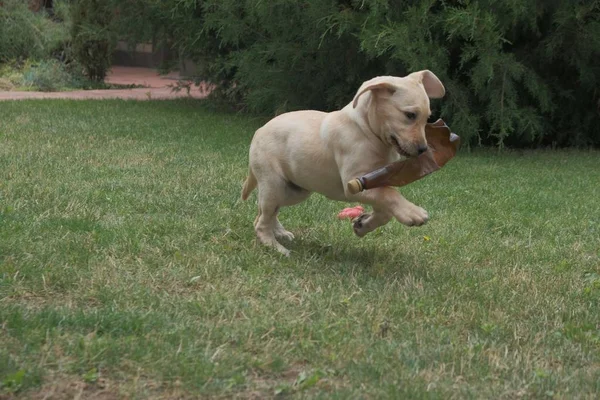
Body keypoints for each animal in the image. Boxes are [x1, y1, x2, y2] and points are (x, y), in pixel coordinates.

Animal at [240, 70, 446, 255]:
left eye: (427, 118)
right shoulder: (355, 183)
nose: (423, 149)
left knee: (264, 213)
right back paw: (276, 247)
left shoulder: (379, 179)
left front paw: (363, 225)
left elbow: (385, 208)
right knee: (261, 221)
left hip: (294, 191)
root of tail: (259, 131)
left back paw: (280, 232)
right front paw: (413, 213)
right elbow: (389, 194)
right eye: (410, 115)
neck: (366, 130)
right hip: (274, 185)